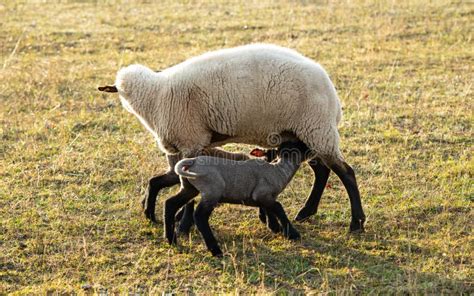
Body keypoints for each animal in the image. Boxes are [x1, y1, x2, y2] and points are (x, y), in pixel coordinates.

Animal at [99, 43, 366, 234]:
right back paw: (306, 212)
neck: (155, 96)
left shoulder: (191, 140)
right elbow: (173, 179)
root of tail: (332, 94)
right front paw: (165, 215)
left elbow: (187, 184)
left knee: (346, 173)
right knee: (322, 171)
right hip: (303, 133)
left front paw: (183, 224)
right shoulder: (177, 147)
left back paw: (356, 222)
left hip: (317, 128)